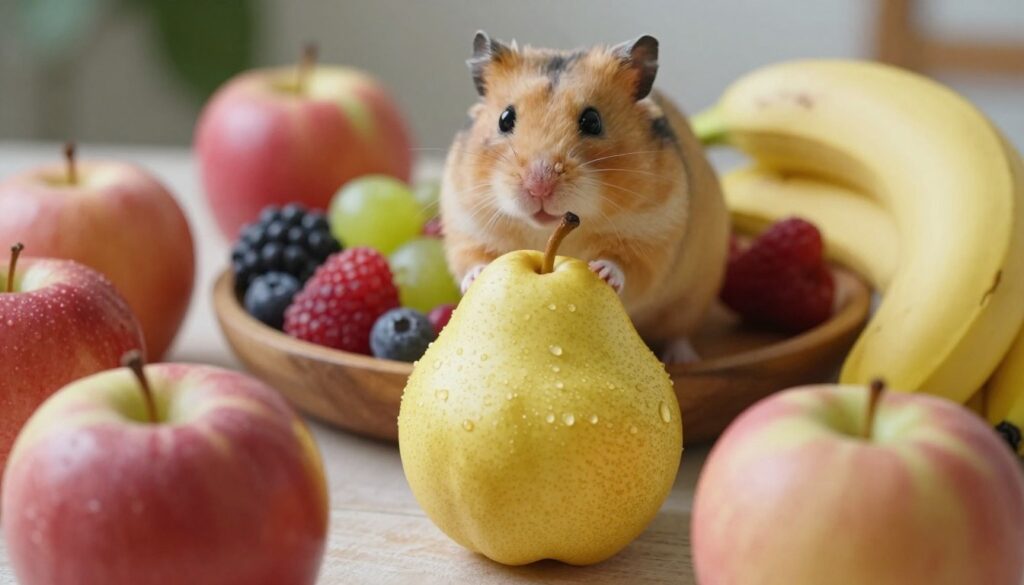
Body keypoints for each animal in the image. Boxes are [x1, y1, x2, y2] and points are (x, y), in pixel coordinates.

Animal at [440, 32, 729, 362]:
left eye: (592, 121)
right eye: (505, 118)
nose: (539, 186)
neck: (546, 231)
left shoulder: (652, 237)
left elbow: (626, 267)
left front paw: (601, 271)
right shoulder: (468, 225)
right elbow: (471, 260)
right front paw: (477, 276)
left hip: (690, 300)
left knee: (678, 333)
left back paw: (681, 359)